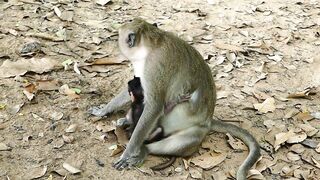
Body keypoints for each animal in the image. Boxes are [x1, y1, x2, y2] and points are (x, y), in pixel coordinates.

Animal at [96, 17, 258, 179]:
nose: (117, 41)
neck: (152, 44)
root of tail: (209, 120)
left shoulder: (154, 68)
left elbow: (154, 106)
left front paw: (127, 153)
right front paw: (103, 110)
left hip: (197, 131)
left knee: (183, 142)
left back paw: (144, 150)